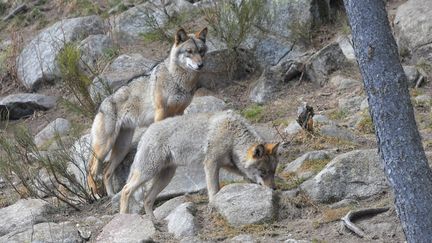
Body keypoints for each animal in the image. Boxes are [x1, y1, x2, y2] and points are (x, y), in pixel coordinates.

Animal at [87, 27, 208, 196]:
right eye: (189, 51)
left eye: (201, 51)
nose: (200, 65)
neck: (178, 81)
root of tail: (101, 106)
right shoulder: (161, 111)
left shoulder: (179, 112)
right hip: (104, 147)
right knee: (91, 169)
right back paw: (96, 194)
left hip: (122, 148)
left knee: (106, 172)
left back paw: (112, 196)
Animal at [119, 110, 280, 218]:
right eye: (263, 172)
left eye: (273, 172)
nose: (273, 189)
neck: (232, 135)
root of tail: (145, 134)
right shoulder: (210, 164)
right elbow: (213, 189)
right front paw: (214, 204)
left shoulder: (228, 164)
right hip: (148, 173)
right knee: (126, 190)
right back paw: (124, 217)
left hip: (165, 177)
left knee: (147, 199)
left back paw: (153, 222)